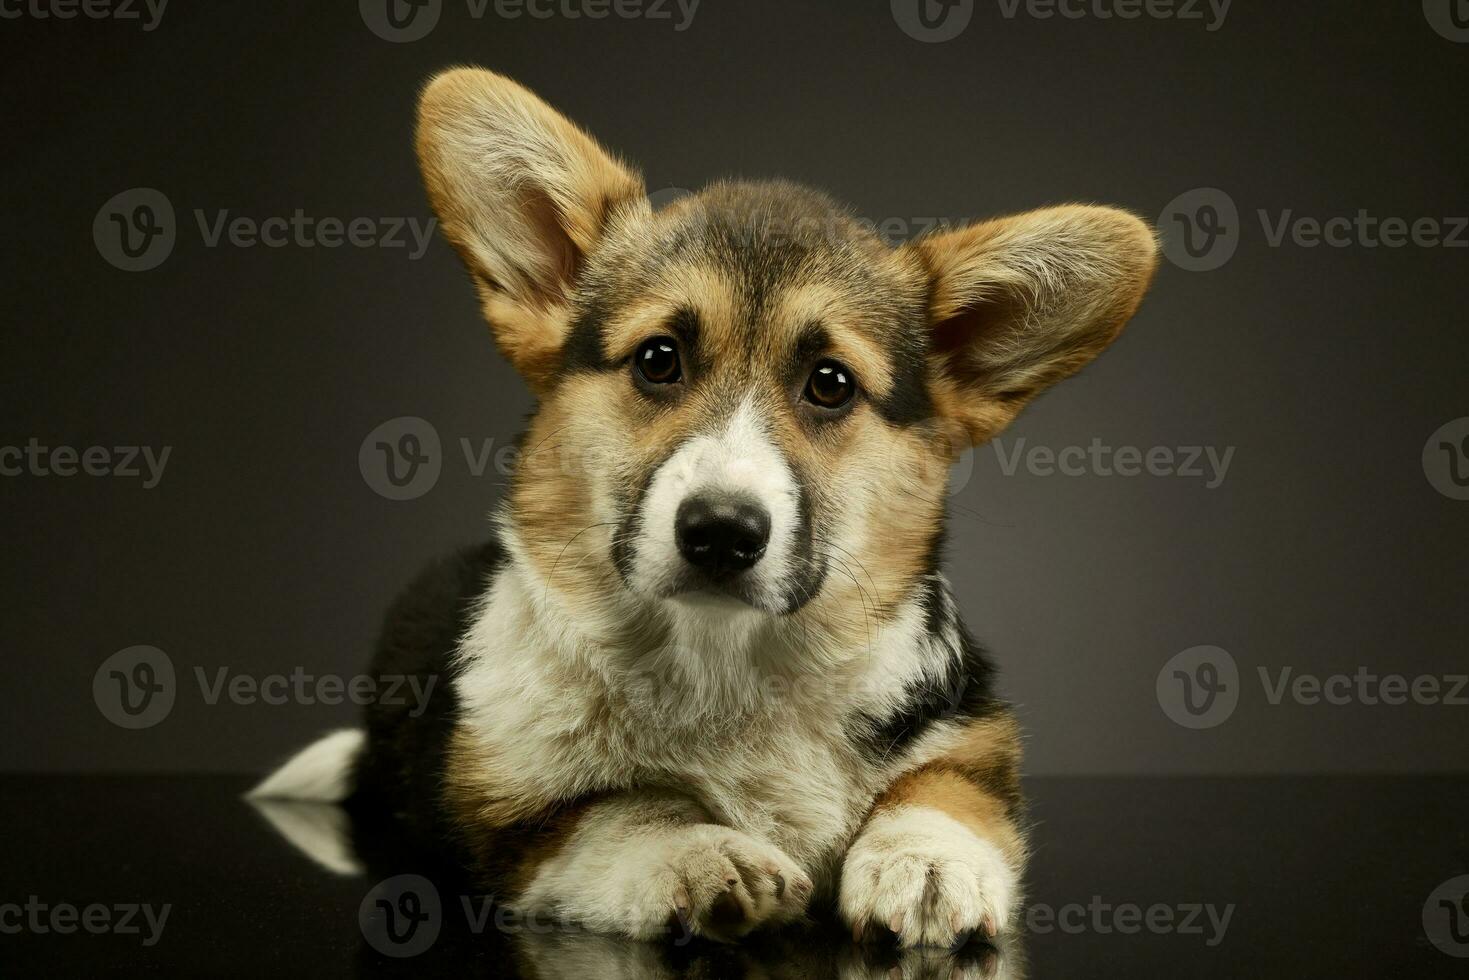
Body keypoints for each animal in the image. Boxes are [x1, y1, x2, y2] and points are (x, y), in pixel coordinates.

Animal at [249, 63, 1157, 952]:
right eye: (659, 360)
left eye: (830, 384)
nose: (721, 533)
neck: (726, 660)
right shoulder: (510, 820)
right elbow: (621, 810)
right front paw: (704, 853)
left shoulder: (970, 734)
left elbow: (942, 789)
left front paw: (927, 862)